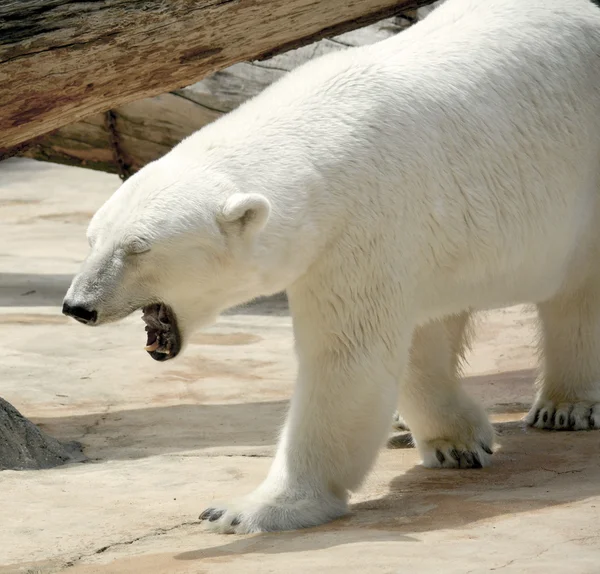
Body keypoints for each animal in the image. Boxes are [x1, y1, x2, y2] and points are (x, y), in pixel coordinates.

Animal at [63, 0, 600, 532]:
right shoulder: (402, 236)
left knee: (578, 292)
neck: (320, 136)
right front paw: (456, 440)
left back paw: (566, 406)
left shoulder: (364, 219)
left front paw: (246, 510)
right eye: (93, 238)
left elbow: (348, 356)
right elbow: (415, 335)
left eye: (138, 247)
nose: (77, 306)